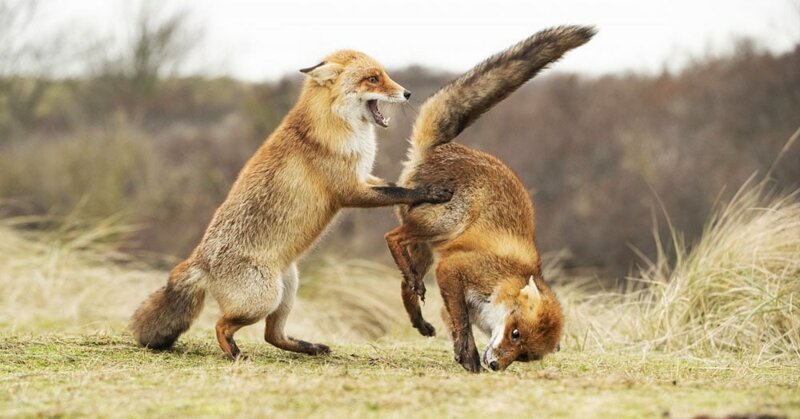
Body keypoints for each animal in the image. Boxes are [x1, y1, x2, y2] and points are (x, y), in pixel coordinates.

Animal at [134, 48, 454, 358]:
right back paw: (235, 354)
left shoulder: (364, 178)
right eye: (373, 79)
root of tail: (199, 260)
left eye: (384, 75)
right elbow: (400, 192)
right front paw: (432, 192)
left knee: (272, 335)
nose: (408, 93)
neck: (338, 128)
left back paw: (310, 348)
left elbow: (394, 186)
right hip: (262, 300)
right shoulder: (350, 191)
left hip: (287, 289)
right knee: (221, 325)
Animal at [384, 26, 596, 372]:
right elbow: (462, 322)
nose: (496, 365)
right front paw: (470, 357)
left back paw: (418, 318)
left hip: (426, 250)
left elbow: (454, 322)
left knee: (405, 283)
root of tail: (441, 148)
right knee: (392, 237)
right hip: (442, 224)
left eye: (524, 355)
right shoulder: (453, 270)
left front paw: (463, 355)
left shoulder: (449, 293)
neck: (505, 281)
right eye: (515, 333)